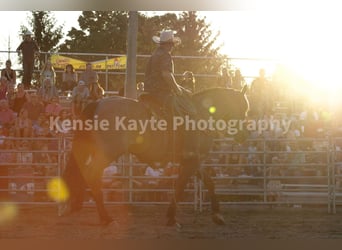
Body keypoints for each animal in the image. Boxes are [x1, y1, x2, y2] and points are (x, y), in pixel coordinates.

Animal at [60, 86, 248, 227]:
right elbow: (180, 186)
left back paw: (76, 205)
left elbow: (209, 182)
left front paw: (217, 214)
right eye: (245, 108)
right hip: (108, 152)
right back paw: (106, 217)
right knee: (92, 174)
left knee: (82, 172)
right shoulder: (192, 160)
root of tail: (98, 103)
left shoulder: (192, 160)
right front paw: (171, 217)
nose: (243, 135)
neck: (201, 113)